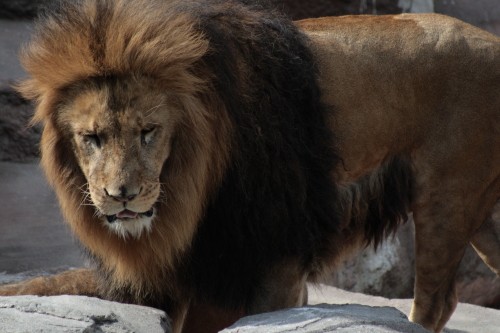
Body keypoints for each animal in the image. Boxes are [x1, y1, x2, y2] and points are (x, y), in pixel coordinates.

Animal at [0, 0, 500, 332]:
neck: (189, 192)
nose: (121, 196)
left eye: (149, 131)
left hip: (447, 196)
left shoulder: (276, 258)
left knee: (436, 301)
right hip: (478, 211)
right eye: (92, 138)